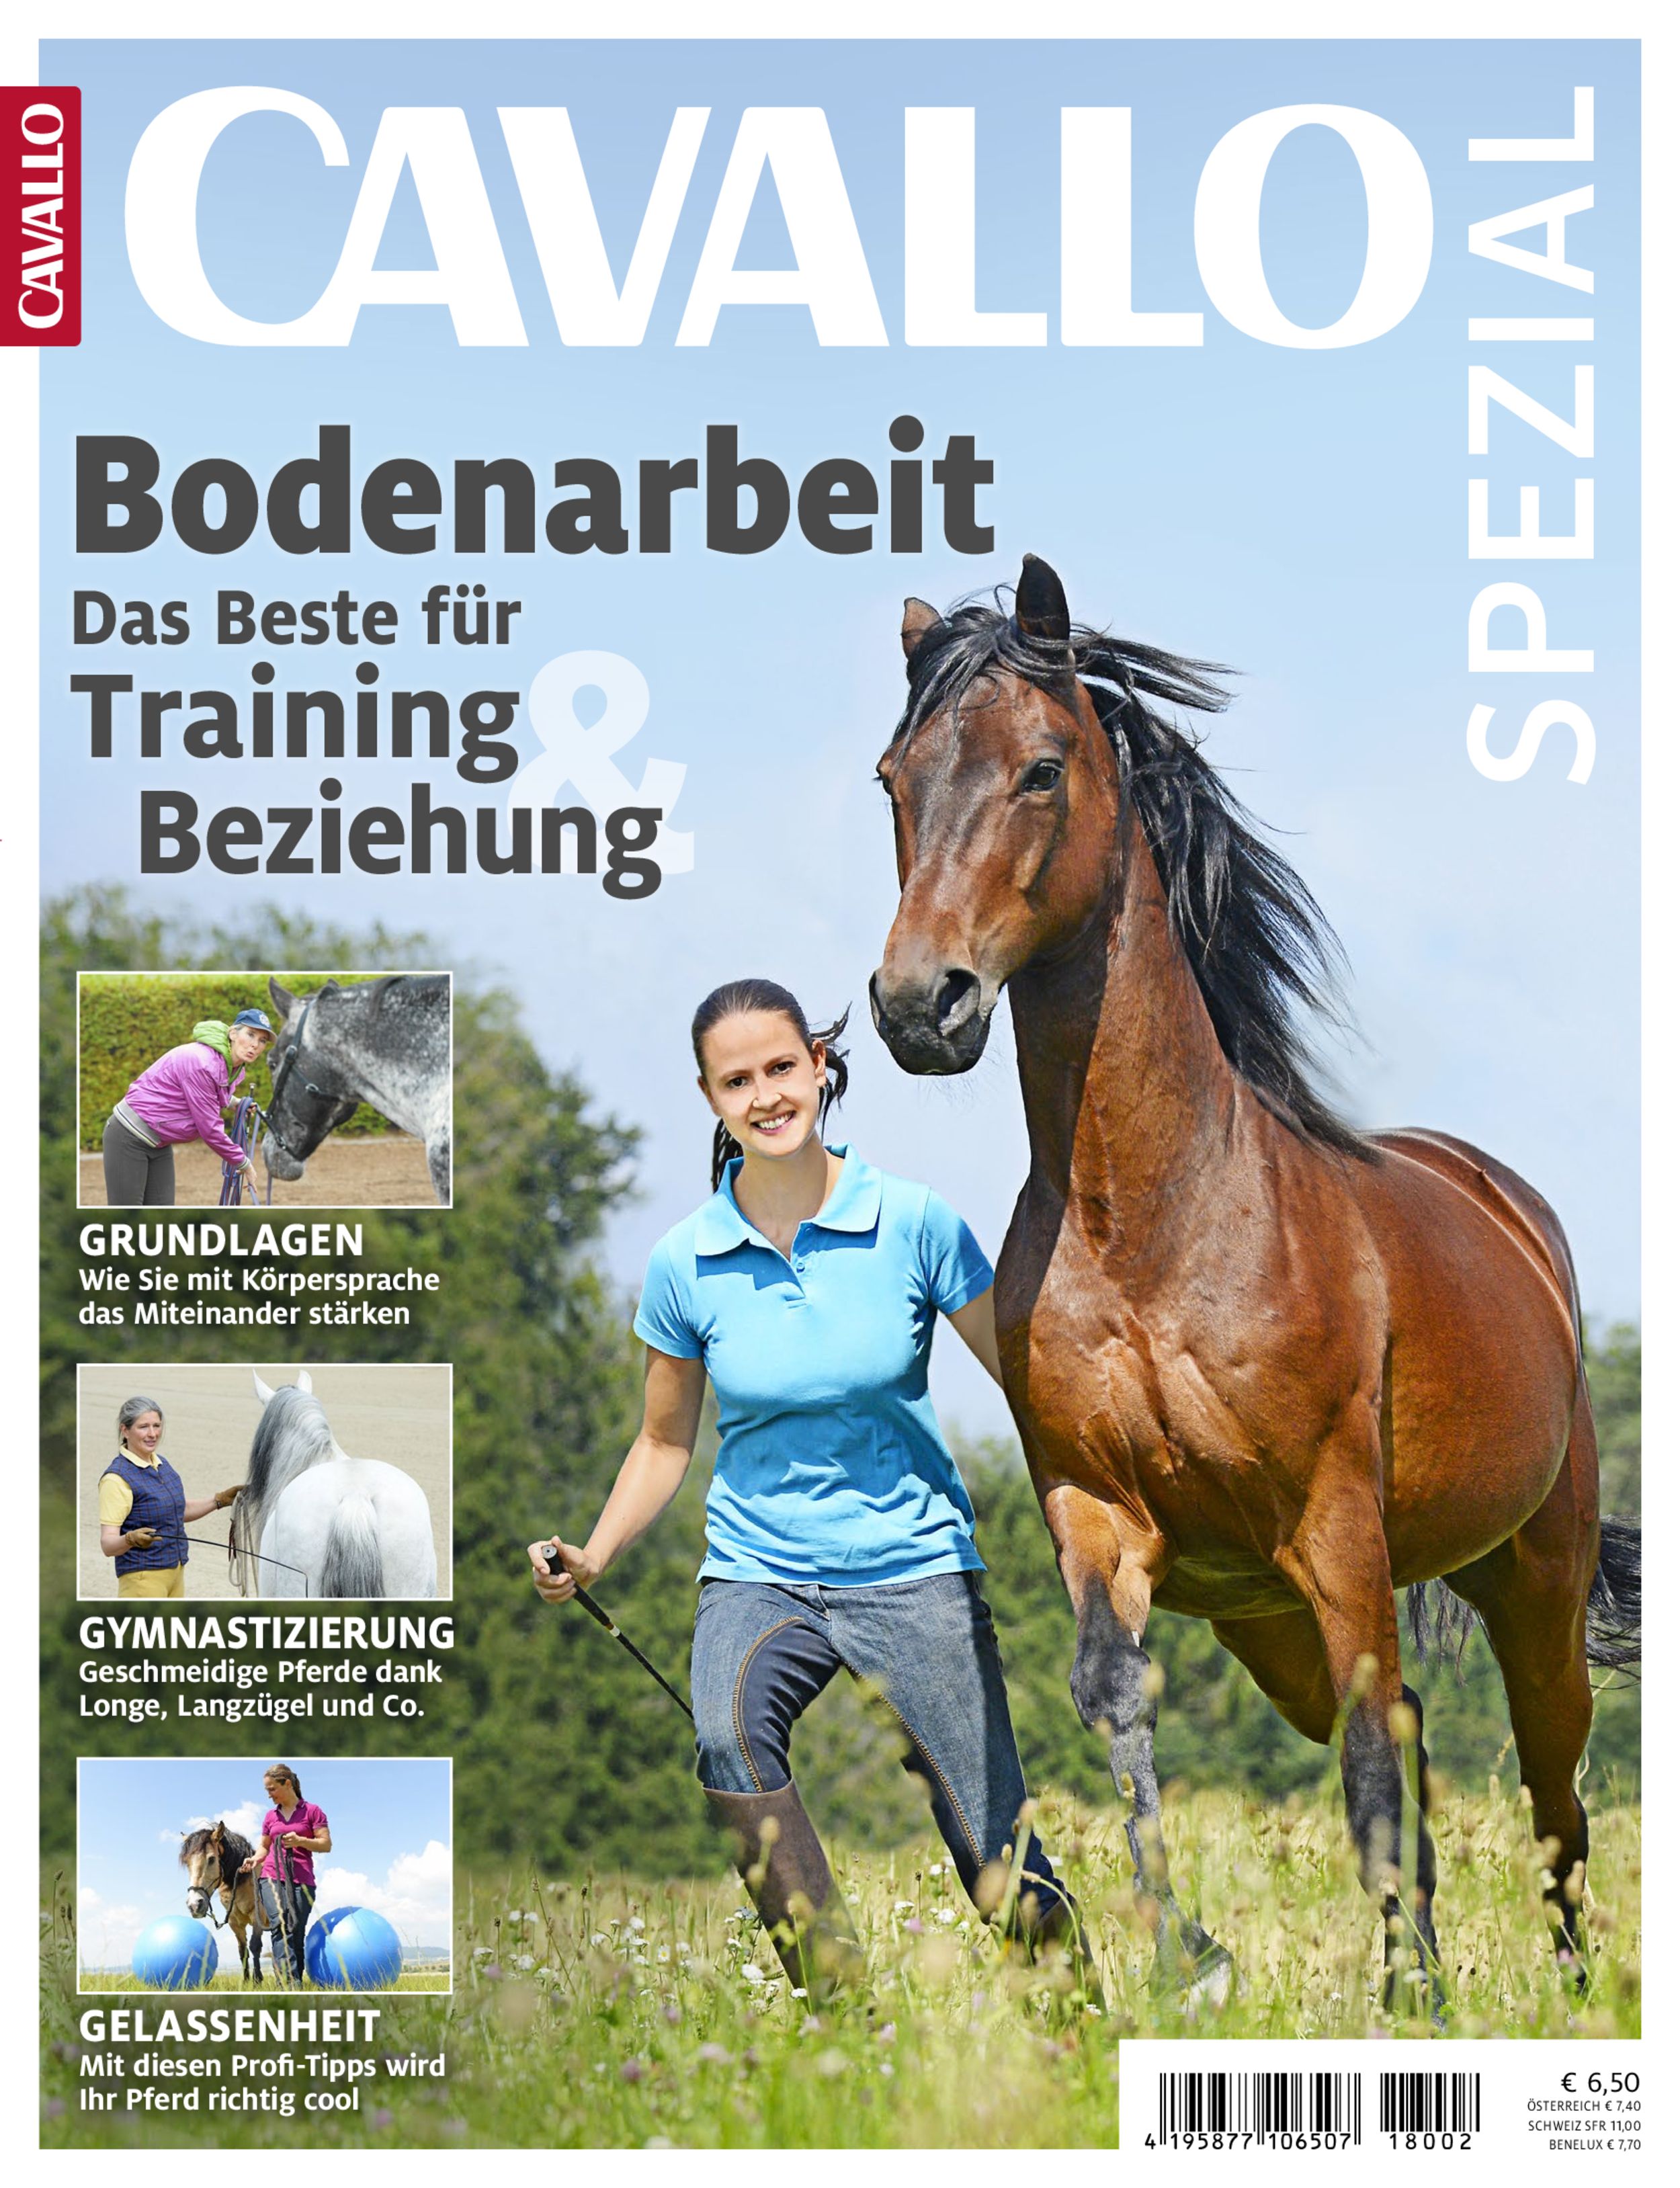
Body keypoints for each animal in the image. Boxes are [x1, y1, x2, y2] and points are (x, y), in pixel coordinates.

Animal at [180, 1820, 266, 1982]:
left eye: (211, 1859)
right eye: (187, 1863)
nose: (194, 1905)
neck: (240, 1880)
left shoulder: (257, 1916)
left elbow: (255, 1946)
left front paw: (257, 1980)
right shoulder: (234, 1922)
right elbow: (243, 1951)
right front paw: (246, 1982)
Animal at [869, 554, 1640, 2009]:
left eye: (1040, 769)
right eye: (893, 777)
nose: (915, 1003)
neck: (1151, 1226)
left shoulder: (1334, 1528)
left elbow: (1370, 1766)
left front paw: (1398, 1999)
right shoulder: (1098, 1514)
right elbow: (1118, 1702)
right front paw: (1193, 1963)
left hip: (1532, 1581)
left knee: (1544, 1777)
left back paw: (1563, 1983)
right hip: (1271, 1626)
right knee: (1417, 1738)